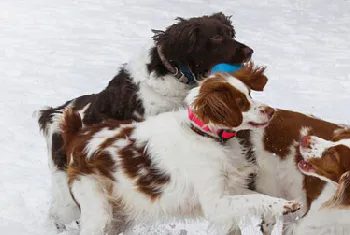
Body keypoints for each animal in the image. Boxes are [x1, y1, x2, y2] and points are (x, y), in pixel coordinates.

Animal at [58, 64, 300, 235]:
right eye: (241, 103)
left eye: (250, 94)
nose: (271, 111)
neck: (206, 135)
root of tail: (77, 135)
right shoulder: (215, 202)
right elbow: (256, 200)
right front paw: (286, 205)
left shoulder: (230, 189)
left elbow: (260, 197)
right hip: (98, 212)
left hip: (118, 216)